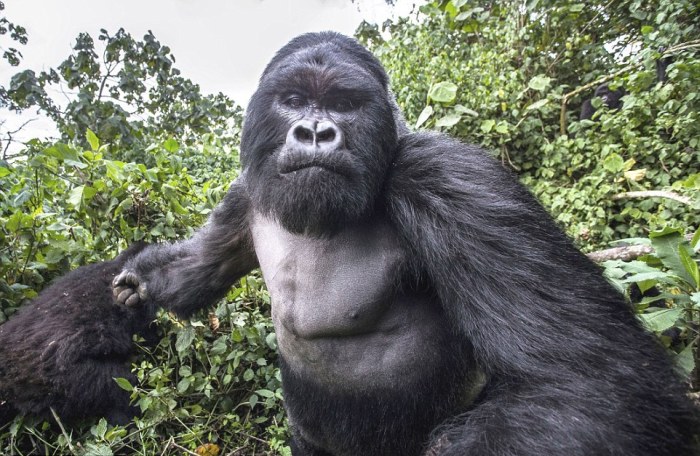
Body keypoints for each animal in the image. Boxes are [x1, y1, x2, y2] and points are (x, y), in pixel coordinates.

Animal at [112, 33, 696, 456]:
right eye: (294, 100)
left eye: (344, 104)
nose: (315, 132)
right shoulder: (245, 192)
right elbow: (203, 263)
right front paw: (141, 282)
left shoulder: (450, 178)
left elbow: (588, 381)